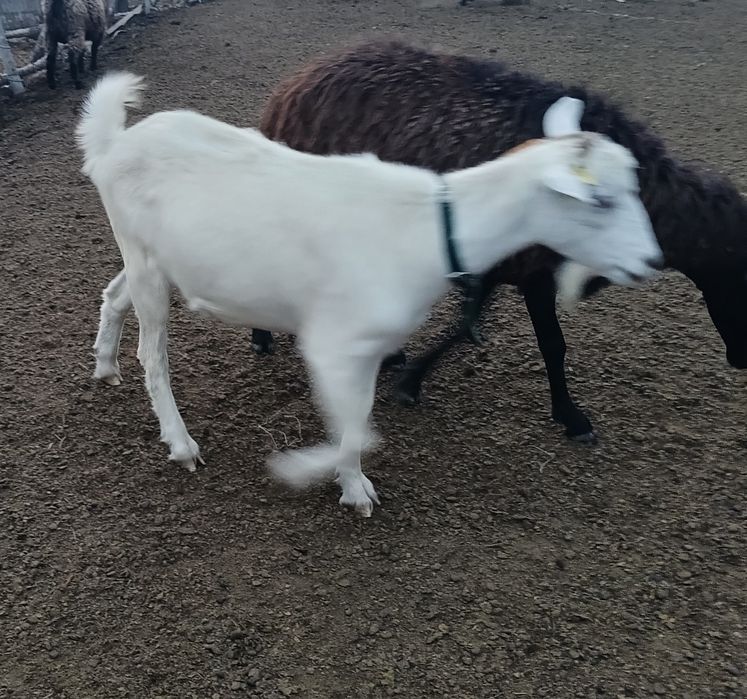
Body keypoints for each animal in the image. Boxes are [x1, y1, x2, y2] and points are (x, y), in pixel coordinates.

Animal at [78, 72, 660, 516]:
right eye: (601, 200)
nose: (650, 261)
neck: (428, 229)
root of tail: (112, 145)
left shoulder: (369, 344)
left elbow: (359, 419)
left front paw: (346, 479)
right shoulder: (332, 343)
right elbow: (360, 428)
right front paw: (317, 476)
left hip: (148, 259)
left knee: (115, 292)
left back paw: (105, 363)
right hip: (145, 263)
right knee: (152, 354)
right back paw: (180, 443)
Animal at [253, 39, 747, 443]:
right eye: (738, 275)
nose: (742, 360)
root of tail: (297, 80)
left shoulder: (503, 262)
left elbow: (476, 326)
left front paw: (410, 373)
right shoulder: (530, 267)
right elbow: (548, 342)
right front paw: (572, 417)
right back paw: (263, 336)